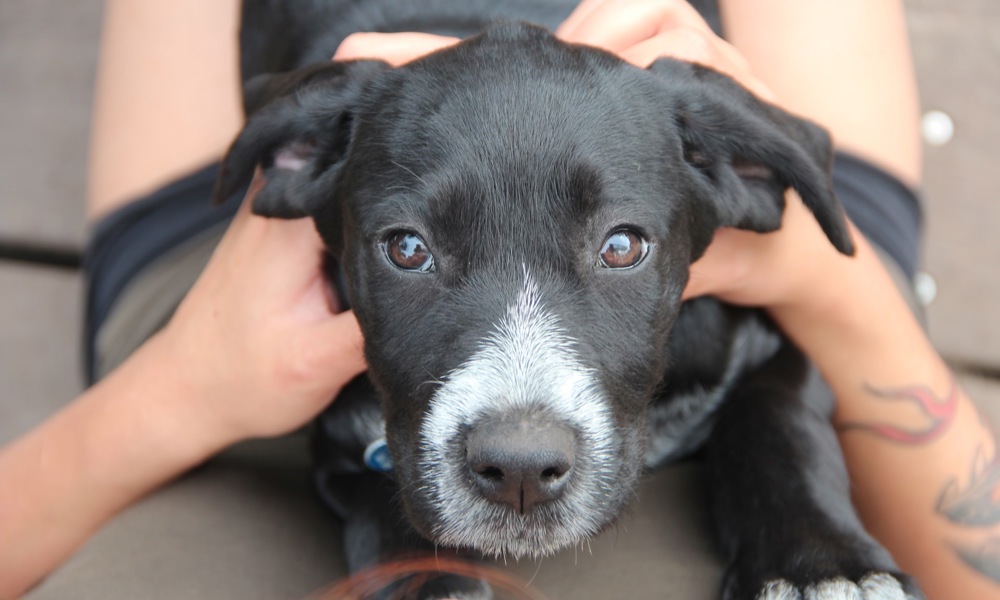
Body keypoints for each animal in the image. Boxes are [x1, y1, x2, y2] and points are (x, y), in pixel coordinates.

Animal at [217, 2, 920, 596]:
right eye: (408, 249)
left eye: (622, 247)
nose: (521, 470)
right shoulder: (343, 444)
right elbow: (387, 523)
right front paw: (429, 585)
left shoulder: (771, 343)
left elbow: (779, 418)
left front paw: (822, 566)